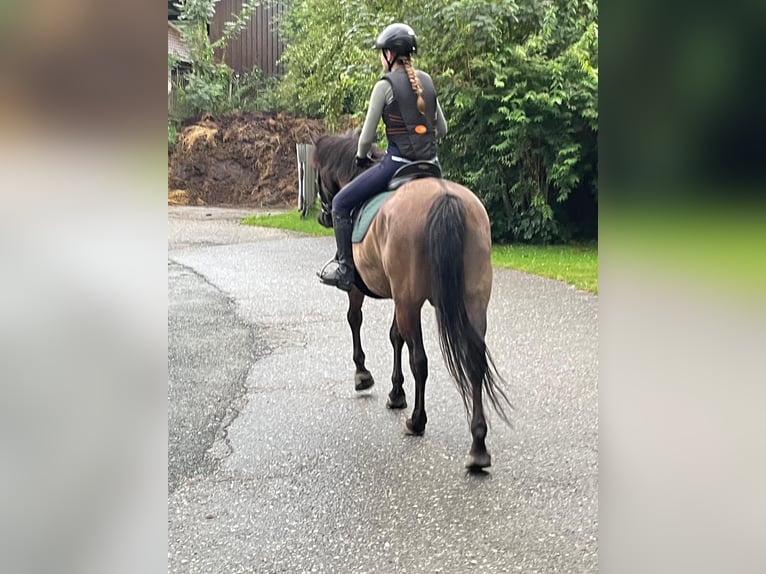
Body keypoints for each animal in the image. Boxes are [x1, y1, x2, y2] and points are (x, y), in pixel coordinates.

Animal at [312, 131, 511, 470]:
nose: (323, 214)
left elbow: (356, 320)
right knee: (473, 361)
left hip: (411, 302)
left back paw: (417, 422)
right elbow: (395, 337)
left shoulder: (368, 290)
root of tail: (445, 199)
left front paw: (363, 375)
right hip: (471, 302)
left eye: (317, 175)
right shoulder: (400, 296)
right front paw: (396, 392)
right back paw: (478, 446)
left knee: (421, 360)